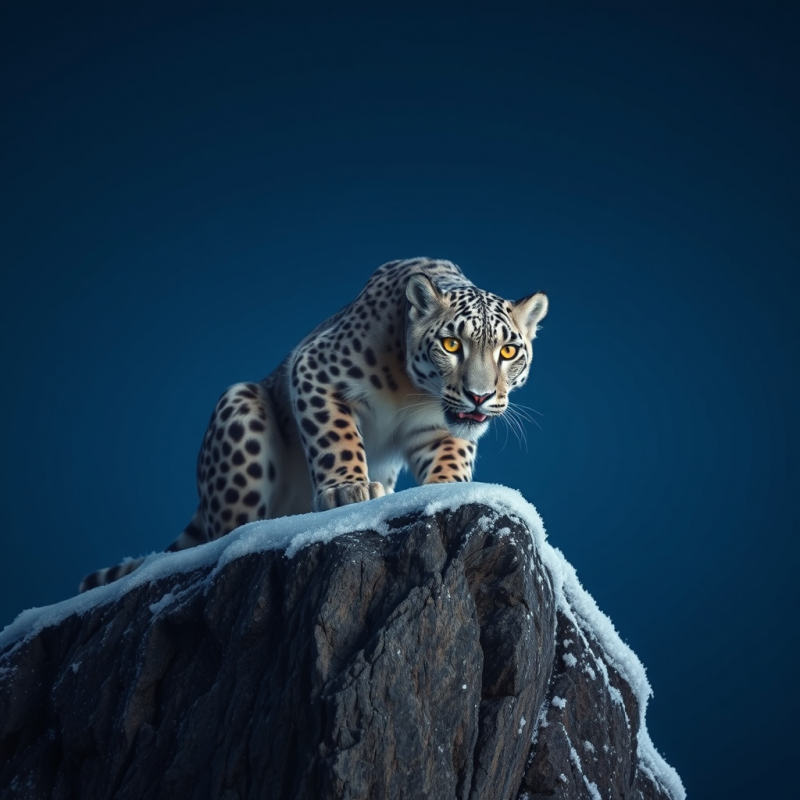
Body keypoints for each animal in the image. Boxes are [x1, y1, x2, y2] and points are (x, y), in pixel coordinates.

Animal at [79, 258, 548, 592]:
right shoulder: (315, 369)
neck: (412, 392)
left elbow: (451, 456)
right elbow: (337, 438)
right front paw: (349, 490)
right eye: (451, 345)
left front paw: (445, 490)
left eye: (508, 351)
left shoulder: (437, 428)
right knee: (224, 530)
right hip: (240, 405)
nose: (479, 396)